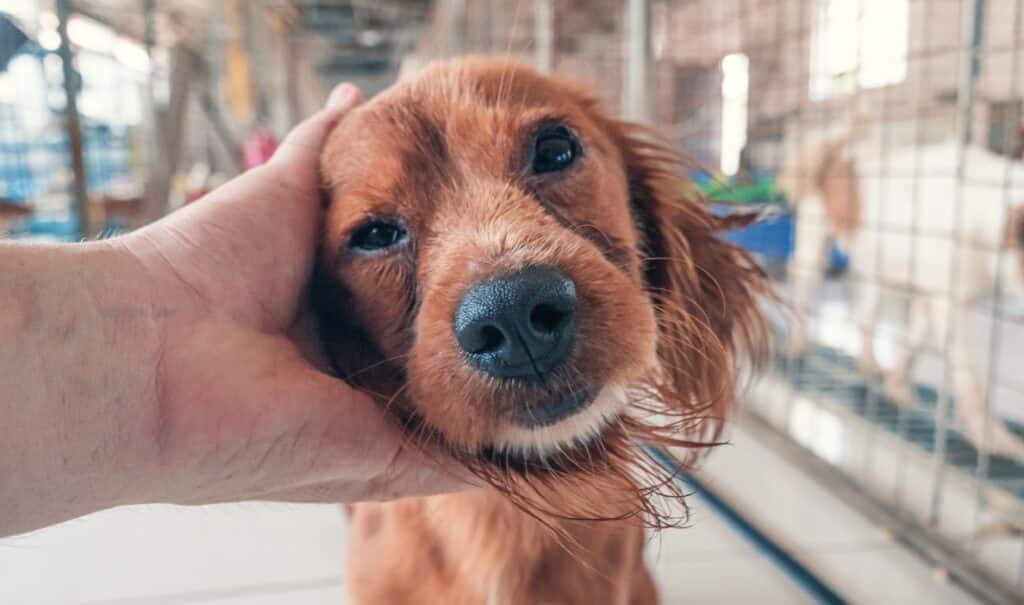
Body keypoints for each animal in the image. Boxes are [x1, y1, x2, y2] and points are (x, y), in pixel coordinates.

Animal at [778, 135, 1024, 460]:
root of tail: (836, 150)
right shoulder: (946, 302)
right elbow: (969, 375)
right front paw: (993, 439)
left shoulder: (929, 296)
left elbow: (913, 343)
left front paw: (898, 390)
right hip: (813, 248)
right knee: (802, 291)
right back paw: (796, 346)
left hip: (873, 272)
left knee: (864, 317)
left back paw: (870, 366)